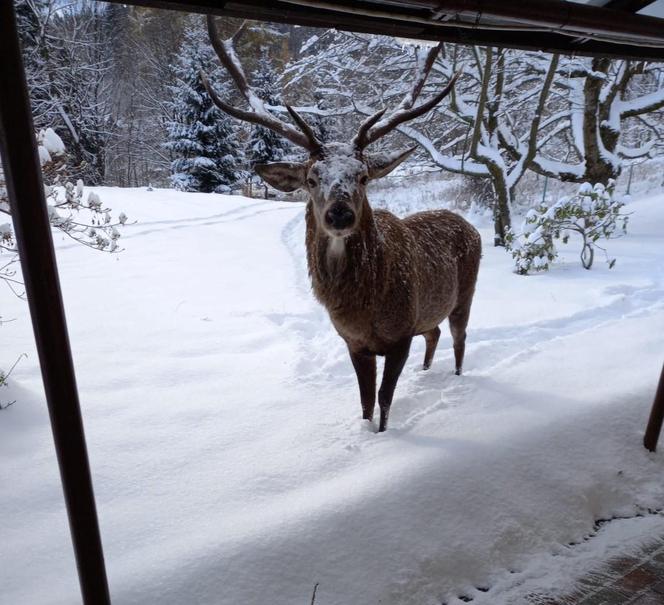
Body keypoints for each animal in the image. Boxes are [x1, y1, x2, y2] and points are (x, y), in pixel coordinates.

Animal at [202, 17, 482, 430]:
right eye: (311, 178)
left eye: (363, 176)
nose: (339, 213)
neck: (364, 307)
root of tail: (466, 222)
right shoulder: (354, 343)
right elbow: (365, 401)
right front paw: (365, 429)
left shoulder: (400, 336)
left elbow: (384, 401)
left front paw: (381, 435)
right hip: (430, 312)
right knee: (432, 333)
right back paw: (427, 372)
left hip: (465, 293)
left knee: (459, 337)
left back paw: (458, 378)